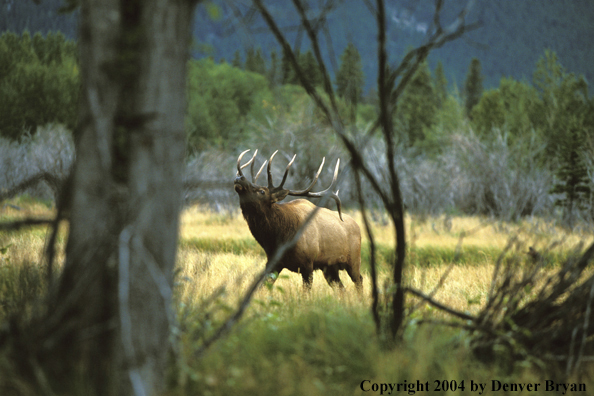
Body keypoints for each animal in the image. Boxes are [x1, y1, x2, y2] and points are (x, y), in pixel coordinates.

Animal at [231, 149, 360, 290]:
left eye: (262, 191)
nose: (239, 178)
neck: (280, 240)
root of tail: (358, 226)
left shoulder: (308, 264)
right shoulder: (273, 262)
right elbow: (263, 286)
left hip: (353, 260)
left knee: (359, 280)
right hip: (330, 267)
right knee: (341, 288)